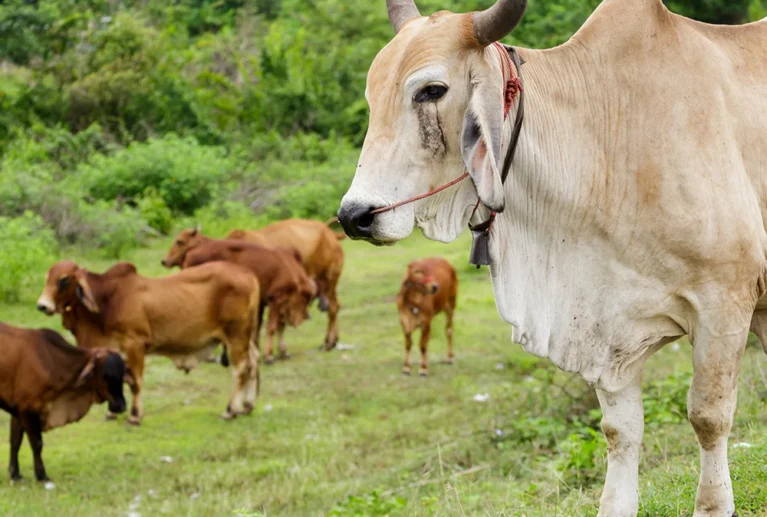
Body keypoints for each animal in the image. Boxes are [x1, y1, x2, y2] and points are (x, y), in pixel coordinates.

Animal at [0, 322, 126, 482]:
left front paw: (15, 474)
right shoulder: (27, 409)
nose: (121, 406)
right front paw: (42, 475)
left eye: (122, 374)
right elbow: (37, 443)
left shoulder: (17, 409)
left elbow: (15, 441)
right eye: (106, 375)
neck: (53, 361)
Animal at [36, 260, 260, 424]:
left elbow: (135, 382)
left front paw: (135, 415)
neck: (107, 301)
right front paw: (112, 413)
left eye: (64, 279)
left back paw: (230, 410)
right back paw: (247, 406)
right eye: (47, 278)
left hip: (235, 335)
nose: (42, 305)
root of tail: (248, 274)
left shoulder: (135, 344)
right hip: (245, 337)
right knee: (253, 362)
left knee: (241, 369)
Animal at [161, 230, 317, 364]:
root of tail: (192, 251)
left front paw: (280, 352)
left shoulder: (264, 304)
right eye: (307, 298)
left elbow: (268, 327)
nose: (307, 316)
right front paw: (269, 356)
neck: (289, 269)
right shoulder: (275, 300)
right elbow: (272, 328)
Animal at [226, 218, 344, 350]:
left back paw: (329, 342)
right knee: (335, 306)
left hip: (330, 280)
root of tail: (329, 233)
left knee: (333, 308)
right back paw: (332, 340)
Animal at [336, 0, 767, 515]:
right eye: (371, 93)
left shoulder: (725, 299)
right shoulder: (607, 327)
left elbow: (708, 416)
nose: (355, 216)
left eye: (432, 90)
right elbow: (620, 431)